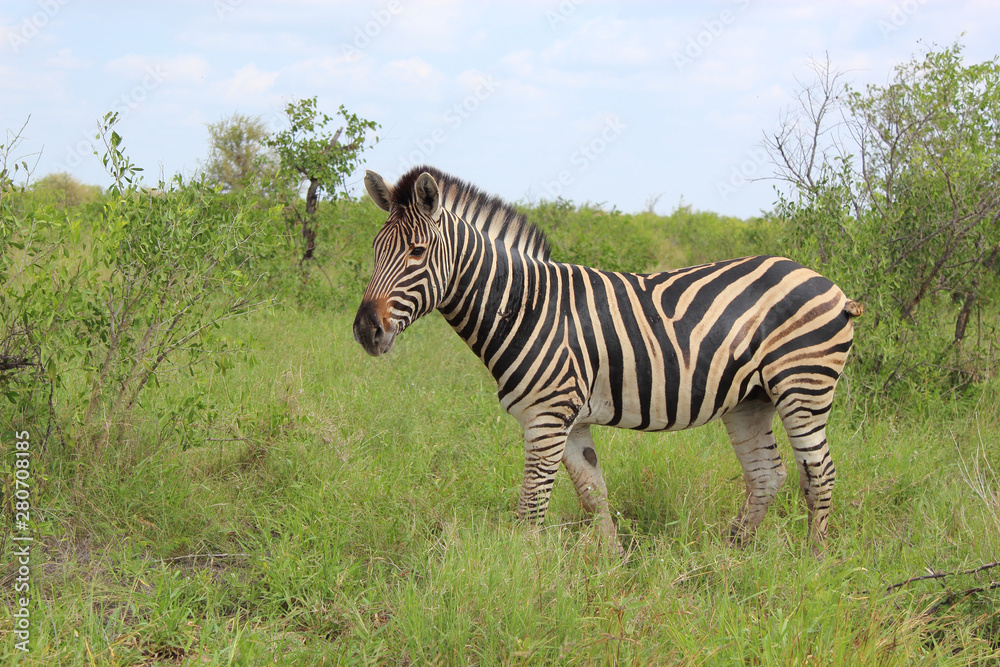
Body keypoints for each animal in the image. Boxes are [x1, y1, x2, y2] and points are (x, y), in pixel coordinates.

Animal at [353, 165, 863, 555]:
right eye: (375, 250)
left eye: (417, 252)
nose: (364, 331)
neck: (524, 306)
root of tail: (831, 286)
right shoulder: (571, 420)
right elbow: (593, 495)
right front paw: (614, 563)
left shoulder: (545, 418)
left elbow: (531, 507)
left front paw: (523, 577)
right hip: (750, 400)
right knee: (766, 475)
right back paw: (730, 552)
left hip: (803, 388)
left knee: (820, 475)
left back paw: (814, 562)